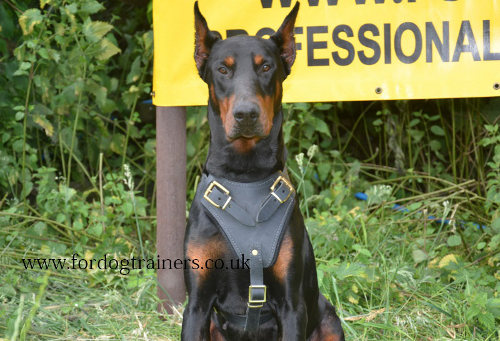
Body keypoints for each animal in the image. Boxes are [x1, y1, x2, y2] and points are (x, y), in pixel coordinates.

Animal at [182, 3, 346, 340]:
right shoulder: (196, 304)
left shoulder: (292, 306)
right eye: (223, 69)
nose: (246, 114)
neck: (245, 175)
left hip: (328, 318)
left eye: (266, 67)